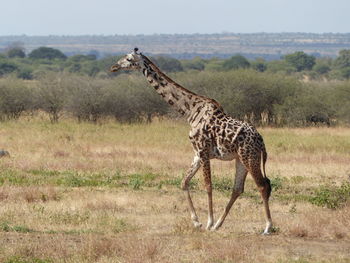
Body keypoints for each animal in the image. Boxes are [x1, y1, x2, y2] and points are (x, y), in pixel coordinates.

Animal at [110, 48, 272, 235]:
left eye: (129, 59)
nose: (114, 67)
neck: (190, 111)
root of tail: (261, 141)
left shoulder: (203, 150)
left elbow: (208, 185)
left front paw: (207, 222)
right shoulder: (197, 153)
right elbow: (184, 182)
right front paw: (197, 222)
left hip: (249, 156)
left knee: (263, 185)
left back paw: (267, 226)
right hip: (241, 159)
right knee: (238, 188)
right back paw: (219, 225)